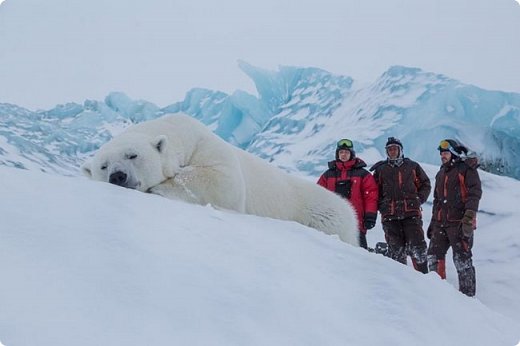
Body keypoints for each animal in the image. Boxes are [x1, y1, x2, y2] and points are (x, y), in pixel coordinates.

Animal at [81, 113, 360, 246]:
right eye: (103, 166)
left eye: (132, 155)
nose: (118, 176)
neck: (177, 131)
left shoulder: (205, 144)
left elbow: (222, 179)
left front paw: (161, 187)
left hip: (326, 217)